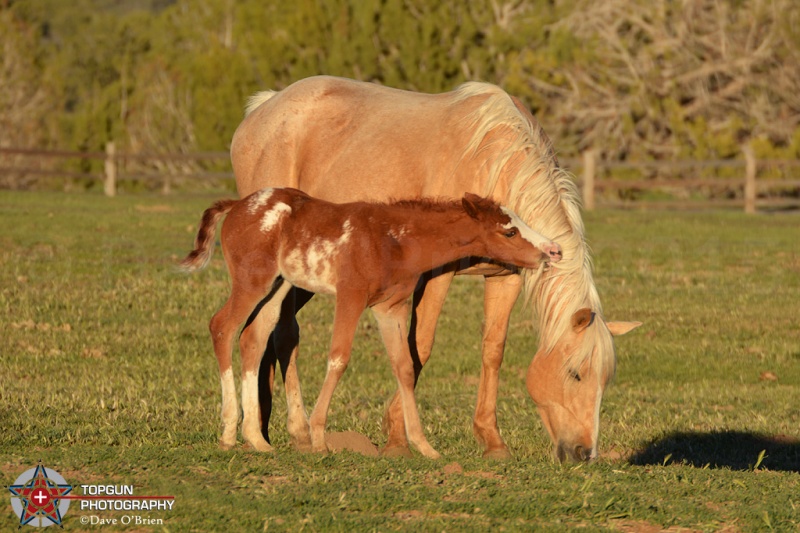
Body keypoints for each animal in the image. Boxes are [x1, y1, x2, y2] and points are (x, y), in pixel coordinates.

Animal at [180, 187, 564, 458]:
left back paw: (256, 440)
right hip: (252, 281)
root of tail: (238, 205)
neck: (393, 239)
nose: (553, 250)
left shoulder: (389, 308)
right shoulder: (351, 297)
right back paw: (229, 432)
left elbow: (404, 366)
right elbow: (338, 358)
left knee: (254, 337)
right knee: (222, 327)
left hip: (279, 284)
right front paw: (318, 438)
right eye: (509, 232)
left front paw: (423, 446)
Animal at [233, 75, 644, 462]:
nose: (584, 453)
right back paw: (293, 430)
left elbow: (493, 349)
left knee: (274, 329)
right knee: (278, 330)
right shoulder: (436, 276)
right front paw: (397, 438)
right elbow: (420, 347)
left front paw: (492, 441)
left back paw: (269, 427)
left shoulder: (507, 277)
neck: (492, 162)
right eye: (575, 373)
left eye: (605, 381)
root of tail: (264, 107)